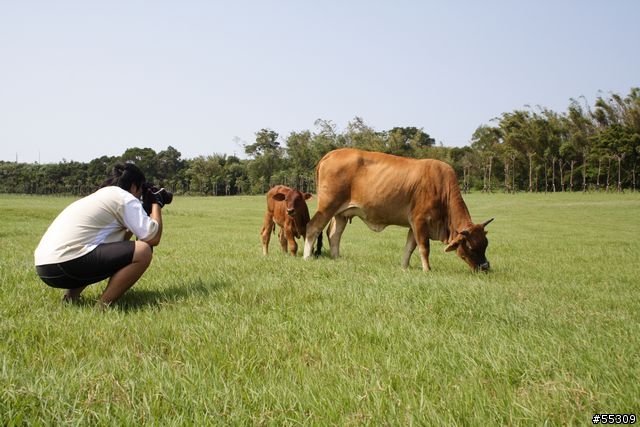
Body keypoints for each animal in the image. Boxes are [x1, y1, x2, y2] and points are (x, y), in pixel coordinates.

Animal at [302, 149, 492, 272]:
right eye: (471, 247)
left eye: (485, 245)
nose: (485, 267)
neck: (442, 188)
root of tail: (331, 154)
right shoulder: (420, 221)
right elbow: (424, 247)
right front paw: (427, 270)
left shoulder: (413, 226)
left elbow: (409, 247)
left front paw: (404, 267)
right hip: (327, 206)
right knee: (313, 228)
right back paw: (307, 257)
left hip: (341, 213)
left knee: (334, 235)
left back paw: (337, 258)